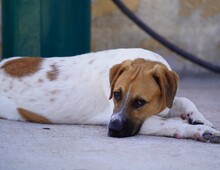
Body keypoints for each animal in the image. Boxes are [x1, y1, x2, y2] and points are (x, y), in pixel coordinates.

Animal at [0, 48, 219, 143]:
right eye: (116, 94)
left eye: (140, 102)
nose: (112, 129)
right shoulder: (136, 120)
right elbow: (171, 123)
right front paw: (201, 131)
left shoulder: (164, 104)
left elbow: (184, 100)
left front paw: (200, 119)